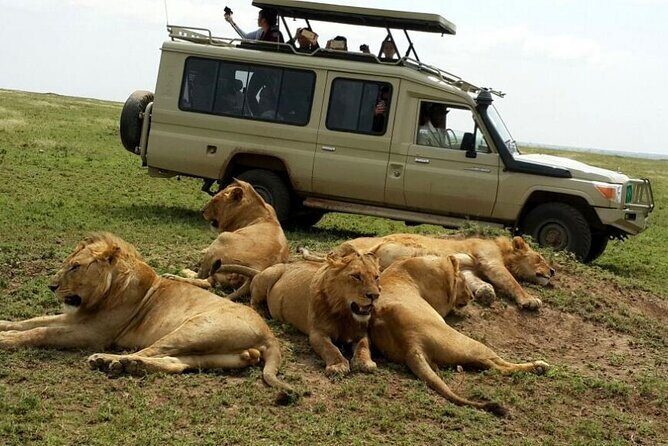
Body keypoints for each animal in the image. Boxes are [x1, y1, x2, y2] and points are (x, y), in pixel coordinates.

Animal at [0, 233, 293, 394]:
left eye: (75, 267)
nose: (51, 286)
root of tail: (269, 334)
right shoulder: (77, 317)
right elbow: (33, 321)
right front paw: (4, 325)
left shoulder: (93, 333)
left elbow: (41, 331)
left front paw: (5, 340)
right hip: (216, 352)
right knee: (176, 363)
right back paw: (131, 366)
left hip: (194, 329)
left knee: (151, 351)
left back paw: (110, 361)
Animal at [214, 244, 382, 376]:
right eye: (356, 276)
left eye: (376, 277)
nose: (375, 295)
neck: (344, 313)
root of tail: (260, 271)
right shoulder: (317, 333)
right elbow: (330, 348)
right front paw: (338, 365)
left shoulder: (361, 332)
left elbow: (364, 345)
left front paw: (365, 363)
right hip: (271, 275)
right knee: (253, 302)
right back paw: (263, 314)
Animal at [303, 234, 554, 310]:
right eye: (540, 258)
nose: (552, 271)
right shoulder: (489, 259)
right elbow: (511, 281)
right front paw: (529, 300)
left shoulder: (470, 268)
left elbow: (474, 281)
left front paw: (485, 293)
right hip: (369, 250)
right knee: (331, 259)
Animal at [370, 254, 550, 416]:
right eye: (463, 282)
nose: (471, 296)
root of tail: (410, 343)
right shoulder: (442, 302)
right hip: (470, 343)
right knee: (500, 366)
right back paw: (540, 366)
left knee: (489, 365)